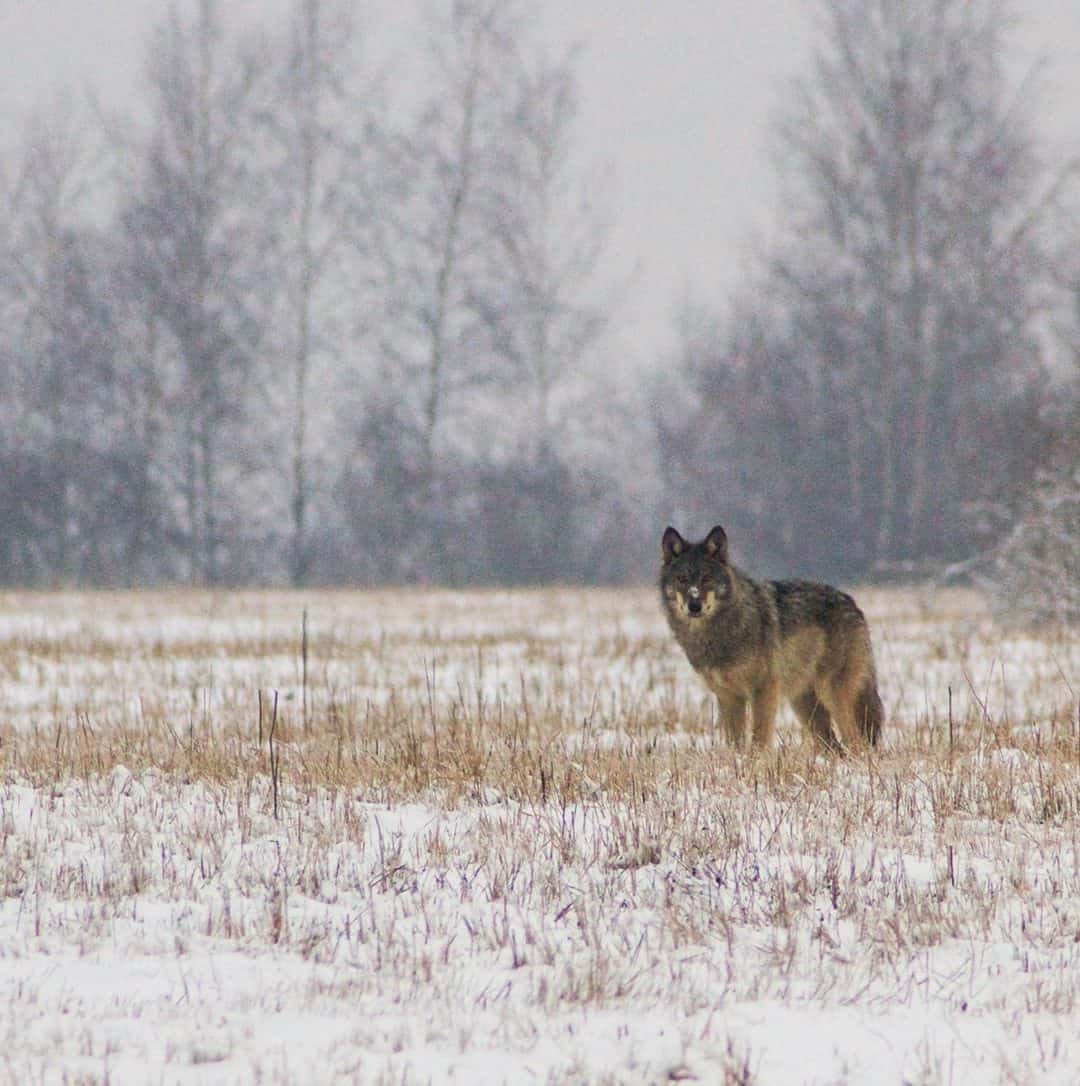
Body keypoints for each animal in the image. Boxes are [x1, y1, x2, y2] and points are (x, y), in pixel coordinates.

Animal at [660, 525, 877, 755]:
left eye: (706, 579)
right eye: (681, 579)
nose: (694, 606)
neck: (719, 633)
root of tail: (852, 603)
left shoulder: (763, 689)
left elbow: (759, 737)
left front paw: (757, 760)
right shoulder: (729, 697)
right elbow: (734, 742)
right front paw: (737, 760)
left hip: (831, 694)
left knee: (856, 741)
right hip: (804, 706)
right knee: (834, 746)